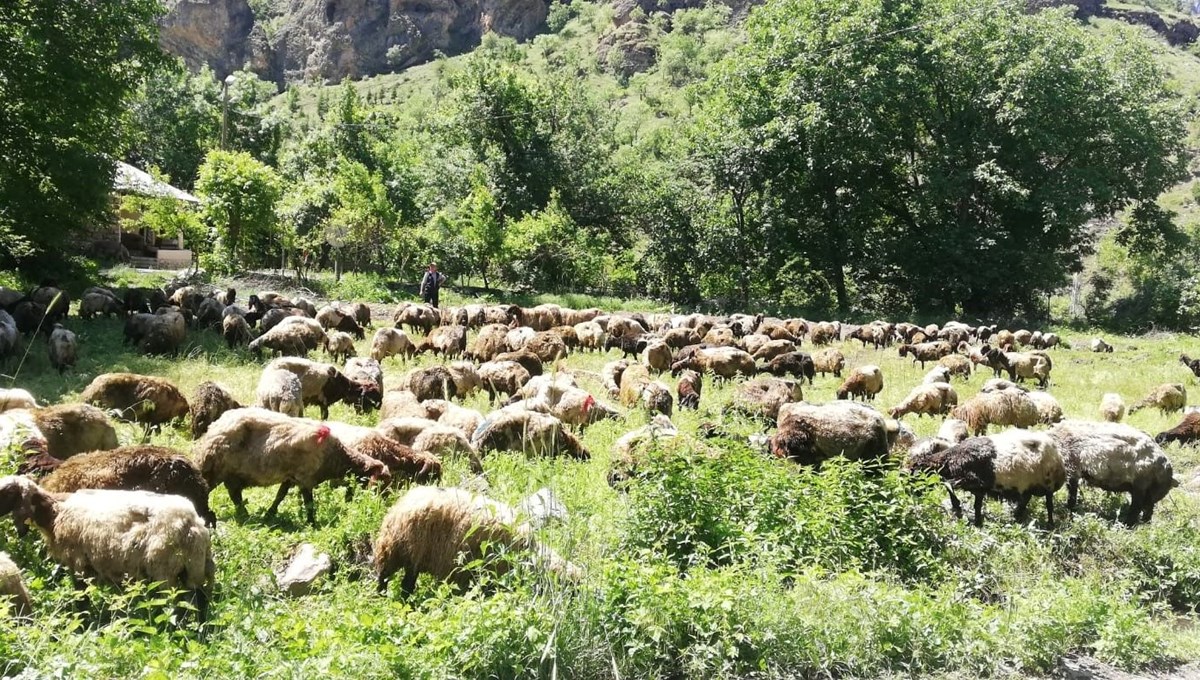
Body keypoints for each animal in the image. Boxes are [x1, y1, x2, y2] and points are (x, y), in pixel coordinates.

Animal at [192, 410, 388, 527]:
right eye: (380, 484)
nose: (380, 506)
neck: (337, 456)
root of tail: (214, 426)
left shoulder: (291, 477)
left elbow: (280, 495)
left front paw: (269, 514)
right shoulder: (305, 477)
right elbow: (309, 503)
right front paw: (312, 523)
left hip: (232, 474)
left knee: (235, 495)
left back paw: (244, 515)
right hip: (214, 469)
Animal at [902, 429, 1065, 530]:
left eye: (915, 473)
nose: (909, 493)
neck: (951, 459)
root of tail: (1056, 453)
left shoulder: (975, 481)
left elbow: (949, 484)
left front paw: (964, 512)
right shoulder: (977, 487)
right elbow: (974, 503)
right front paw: (974, 519)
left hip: (1048, 484)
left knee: (1049, 505)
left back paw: (1050, 524)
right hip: (1029, 485)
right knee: (1026, 498)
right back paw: (1017, 516)